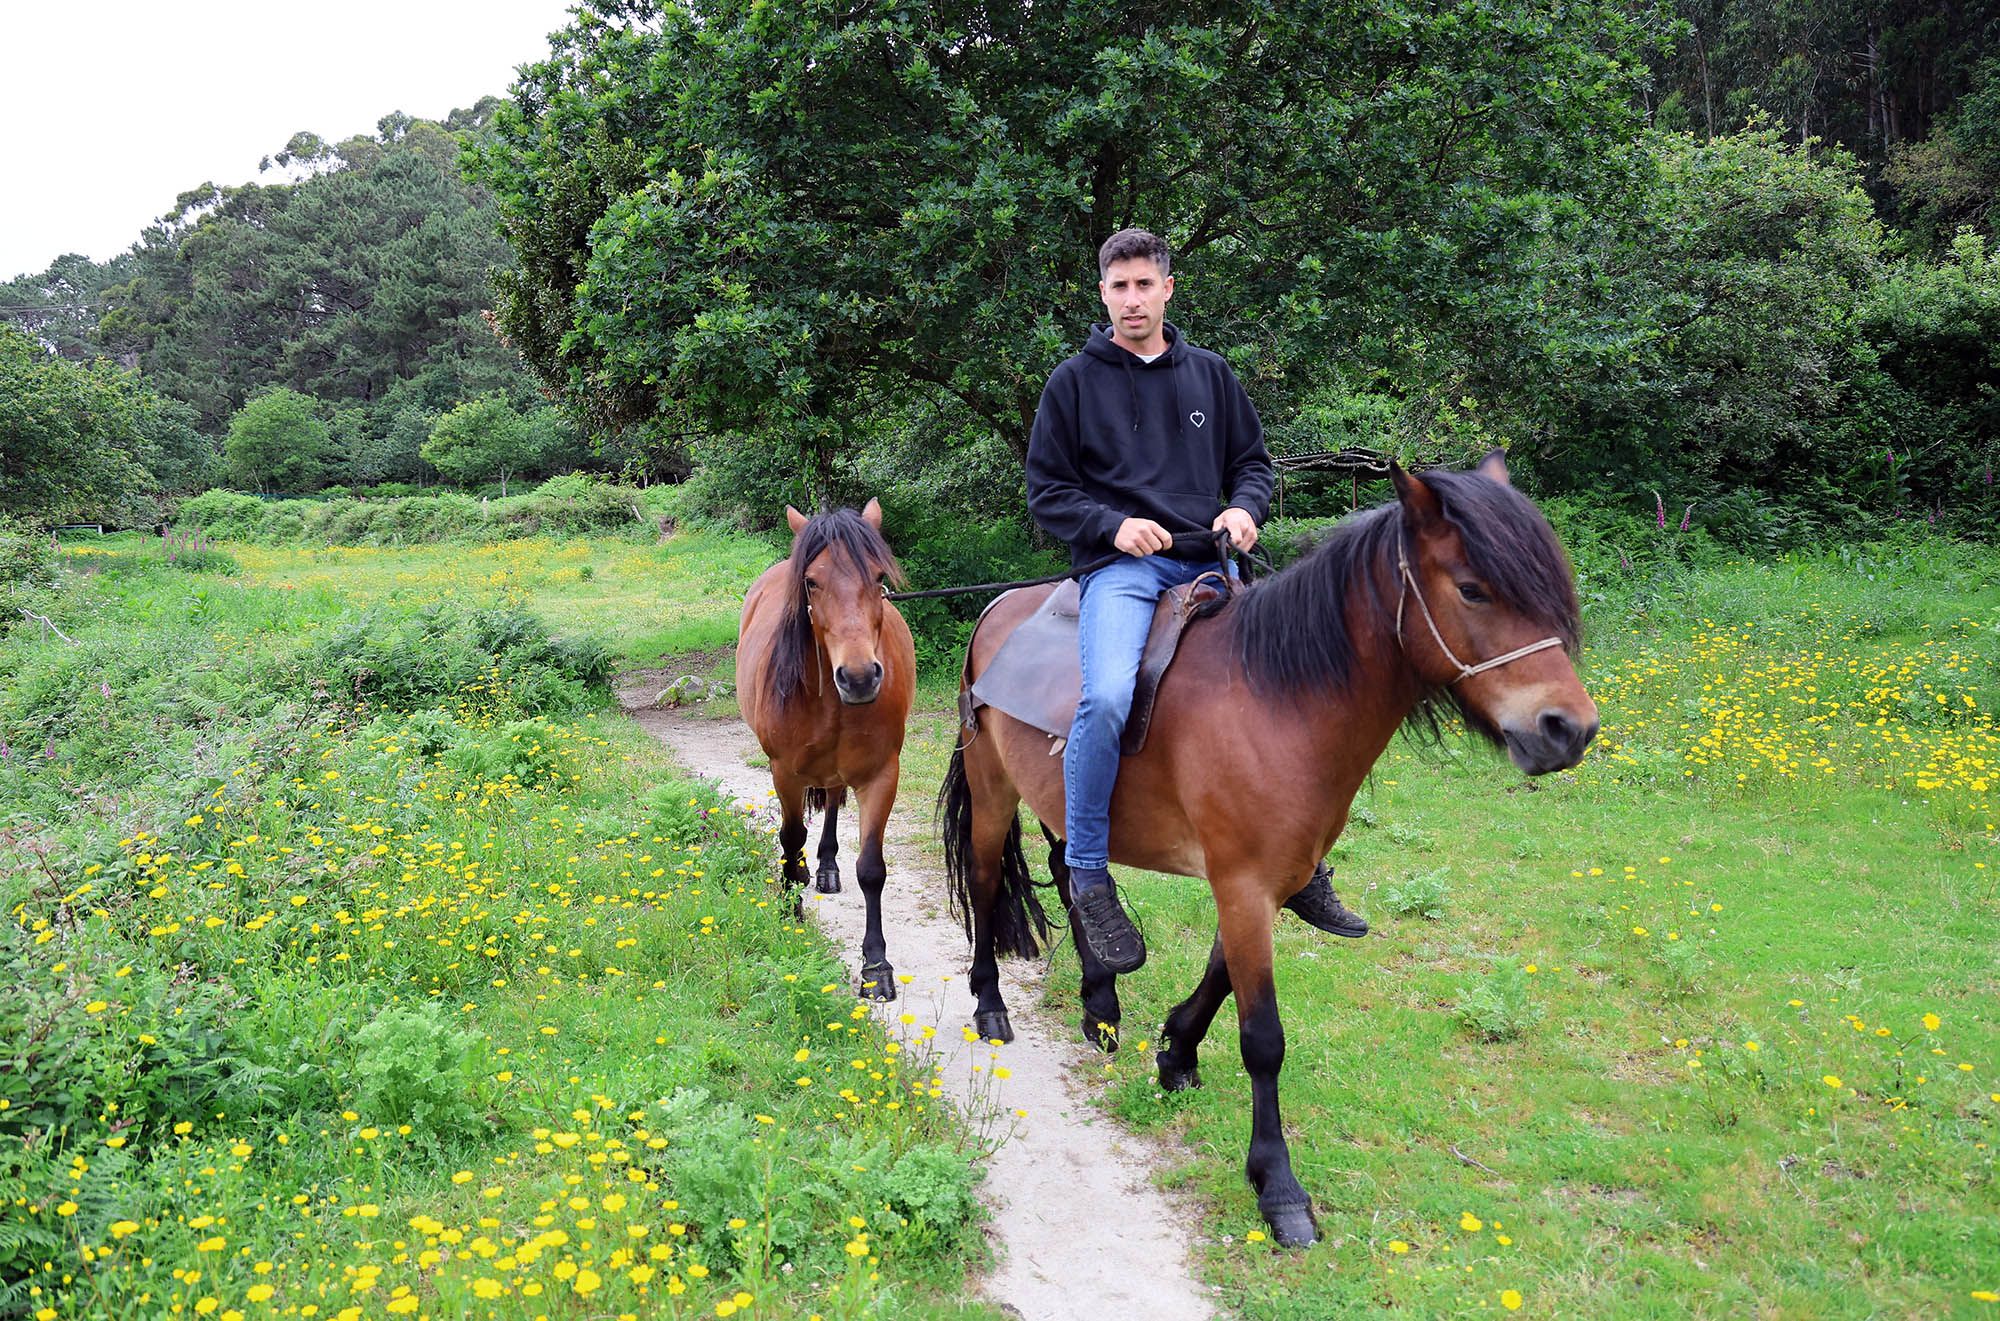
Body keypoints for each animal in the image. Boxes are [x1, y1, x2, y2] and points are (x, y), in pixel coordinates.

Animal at [740, 502, 916, 1000]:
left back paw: (826, 867)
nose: (858, 677)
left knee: (834, 802)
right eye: (812, 582)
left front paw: (876, 966)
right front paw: (789, 909)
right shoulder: (784, 771)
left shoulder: (881, 775)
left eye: (879, 576)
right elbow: (789, 835)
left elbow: (872, 868)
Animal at [940, 456, 1608, 1248]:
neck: (1274, 699)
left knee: (1076, 881)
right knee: (988, 884)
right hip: (993, 791)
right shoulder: (1243, 884)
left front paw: (1175, 1053)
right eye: (1473, 588)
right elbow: (1262, 1036)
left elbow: (1220, 975)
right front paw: (1278, 1187)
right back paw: (990, 1007)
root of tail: (995, 612)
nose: (1569, 729)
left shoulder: (1272, 878)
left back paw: (1100, 1004)